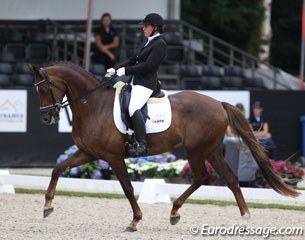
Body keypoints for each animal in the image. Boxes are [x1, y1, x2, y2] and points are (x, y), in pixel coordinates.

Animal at [27, 62, 298, 232]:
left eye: (45, 88)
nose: (46, 117)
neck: (92, 104)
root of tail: (219, 103)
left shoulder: (113, 156)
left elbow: (127, 187)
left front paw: (135, 221)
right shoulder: (89, 153)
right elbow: (58, 169)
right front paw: (47, 206)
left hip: (196, 150)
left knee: (202, 177)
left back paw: (175, 213)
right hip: (210, 150)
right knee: (230, 179)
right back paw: (243, 219)